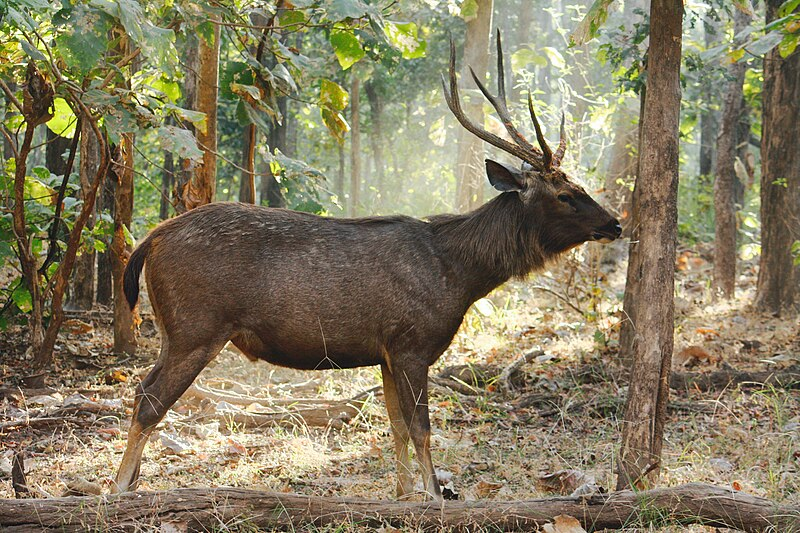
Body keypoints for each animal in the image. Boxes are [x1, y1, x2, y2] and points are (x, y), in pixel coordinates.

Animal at [112, 33, 620, 498]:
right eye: (565, 194)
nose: (614, 222)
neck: (460, 276)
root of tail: (151, 238)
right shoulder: (413, 343)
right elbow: (421, 427)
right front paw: (433, 495)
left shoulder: (387, 351)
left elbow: (394, 424)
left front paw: (403, 494)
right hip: (196, 327)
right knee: (149, 400)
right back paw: (117, 490)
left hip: (175, 330)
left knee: (140, 390)